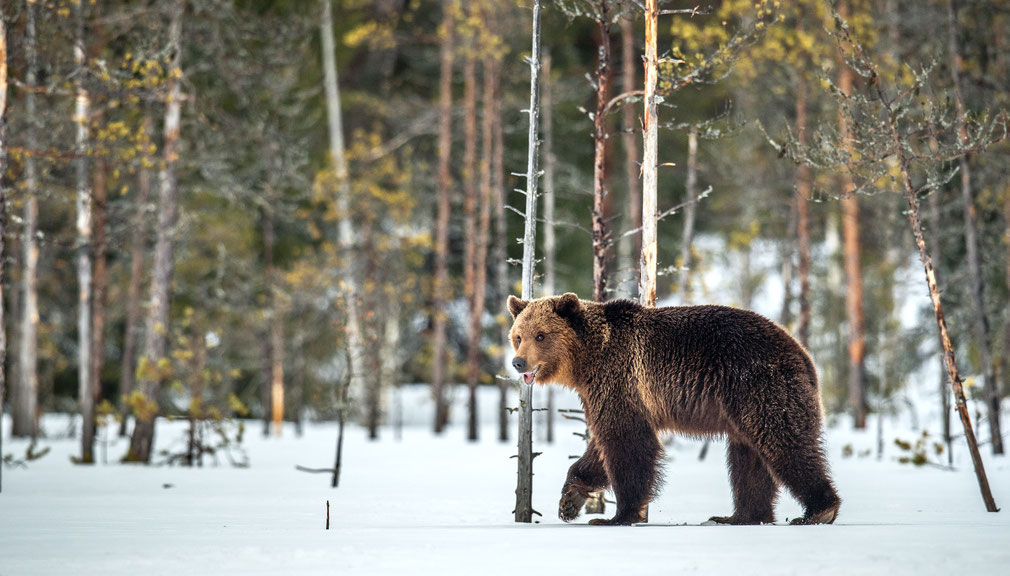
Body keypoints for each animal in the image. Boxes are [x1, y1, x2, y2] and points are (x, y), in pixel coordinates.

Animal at [509, 291, 840, 525]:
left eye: (541, 335)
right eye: (518, 336)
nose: (518, 362)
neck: (587, 360)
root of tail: (803, 354)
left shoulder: (620, 378)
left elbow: (627, 443)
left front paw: (616, 516)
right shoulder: (605, 393)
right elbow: (602, 447)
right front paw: (570, 499)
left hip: (759, 384)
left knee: (783, 442)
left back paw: (818, 510)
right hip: (742, 405)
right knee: (749, 458)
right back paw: (738, 517)